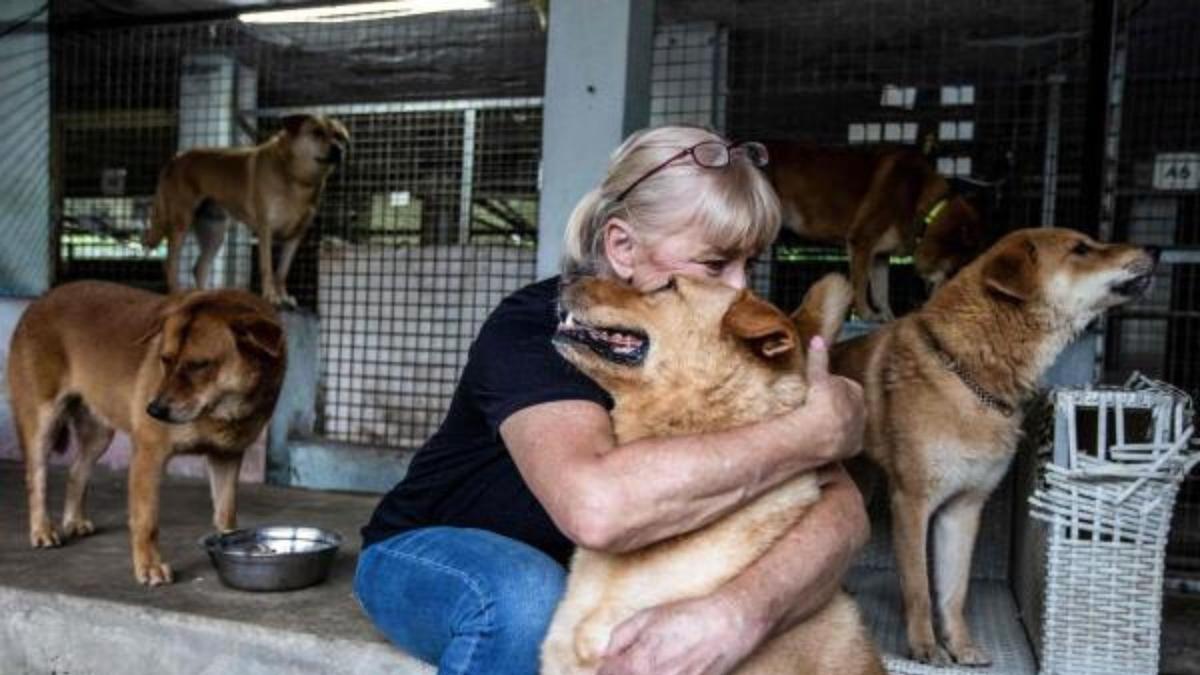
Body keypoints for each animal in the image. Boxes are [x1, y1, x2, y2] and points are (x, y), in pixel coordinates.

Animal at [11, 278, 285, 583]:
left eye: (199, 365)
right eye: (165, 359)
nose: (153, 410)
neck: (224, 411)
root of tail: (42, 299)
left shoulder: (226, 457)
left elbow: (226, 515)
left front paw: (231, 545)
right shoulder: (148, 455)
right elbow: (147, 521)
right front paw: (149, 566)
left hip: (99, 435)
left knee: (76, 471)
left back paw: (74, 520)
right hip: (42, 422)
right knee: (36, 479)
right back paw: (42, 530)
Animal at [144, 113, 350, 307]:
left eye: (339, 136)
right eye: (317, 132)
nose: (339, 150)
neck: (295, 176)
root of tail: (175, 158)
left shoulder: (295, 236)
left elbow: (282, 272)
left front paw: (283, 297)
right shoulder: (266, 229)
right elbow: (267, 268)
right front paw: (271, 297)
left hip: (215, 232)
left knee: (199, 267)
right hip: (181, 221)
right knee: (170, 263)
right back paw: (176, 294)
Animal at [763, 139, 988, 319]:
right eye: (957, 270)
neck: (922, 204)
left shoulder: (880, 256)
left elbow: (881, 293)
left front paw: (887, 318)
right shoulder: (862, 242)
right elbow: (860, 286)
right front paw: (866, 315)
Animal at [830, 227, 1156, 662]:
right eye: (1081, 249)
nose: (1154, 248)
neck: (974, 370)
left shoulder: (963, 509)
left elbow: (953, 592)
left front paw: (960, 645)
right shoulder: (912, 502)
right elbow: (919, 587)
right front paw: (924, 646)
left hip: (862, 487)